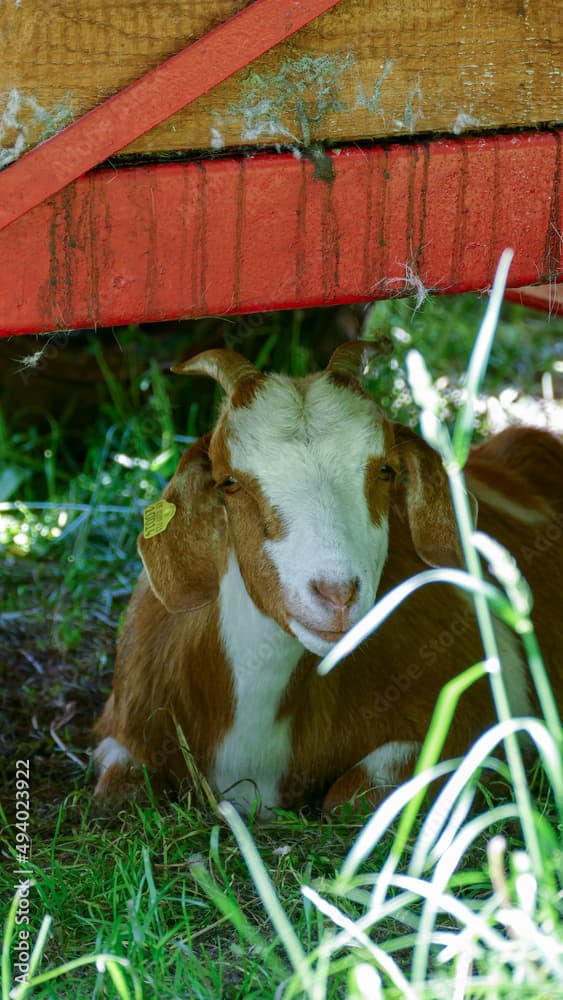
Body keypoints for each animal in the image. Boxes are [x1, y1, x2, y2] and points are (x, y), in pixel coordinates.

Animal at [93, 344, 563, 812]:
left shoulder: (475, 726)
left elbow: (348, 798)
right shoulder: (122, 730)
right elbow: (115, 796)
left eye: (386, 469)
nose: (337, 595)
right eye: (229, 481)